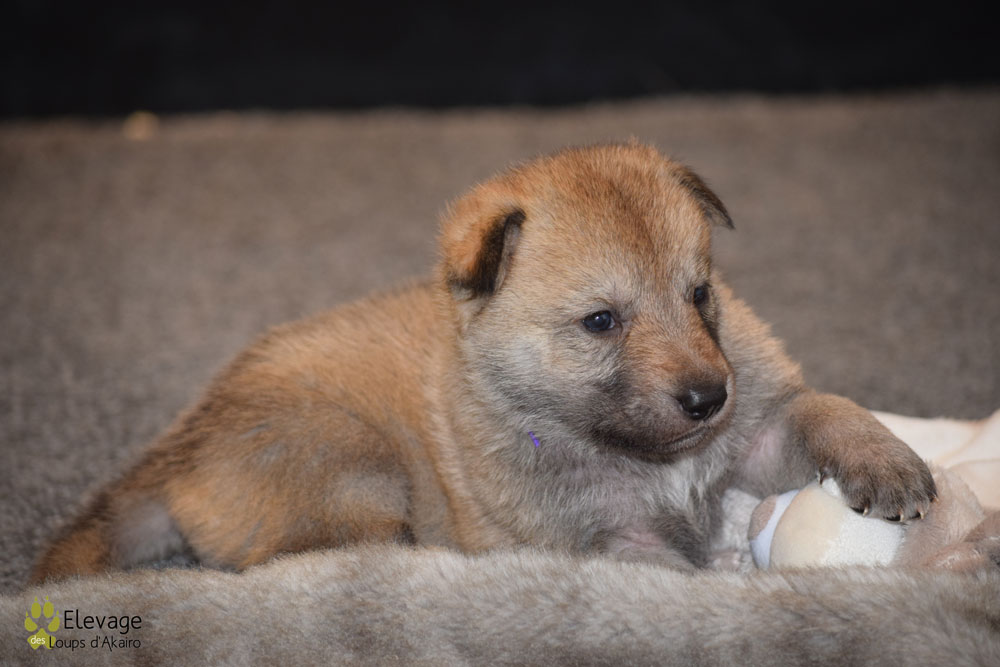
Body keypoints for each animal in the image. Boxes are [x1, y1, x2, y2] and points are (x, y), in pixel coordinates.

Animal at [31, 142, 936, 582]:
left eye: (701, 294)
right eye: (600, 321)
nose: (709, 396)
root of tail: (179, 452)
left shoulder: (754, 431)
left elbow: (824, 409)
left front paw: (888, 462)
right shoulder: (608, 542)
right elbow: (686, 575)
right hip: (356, 472)